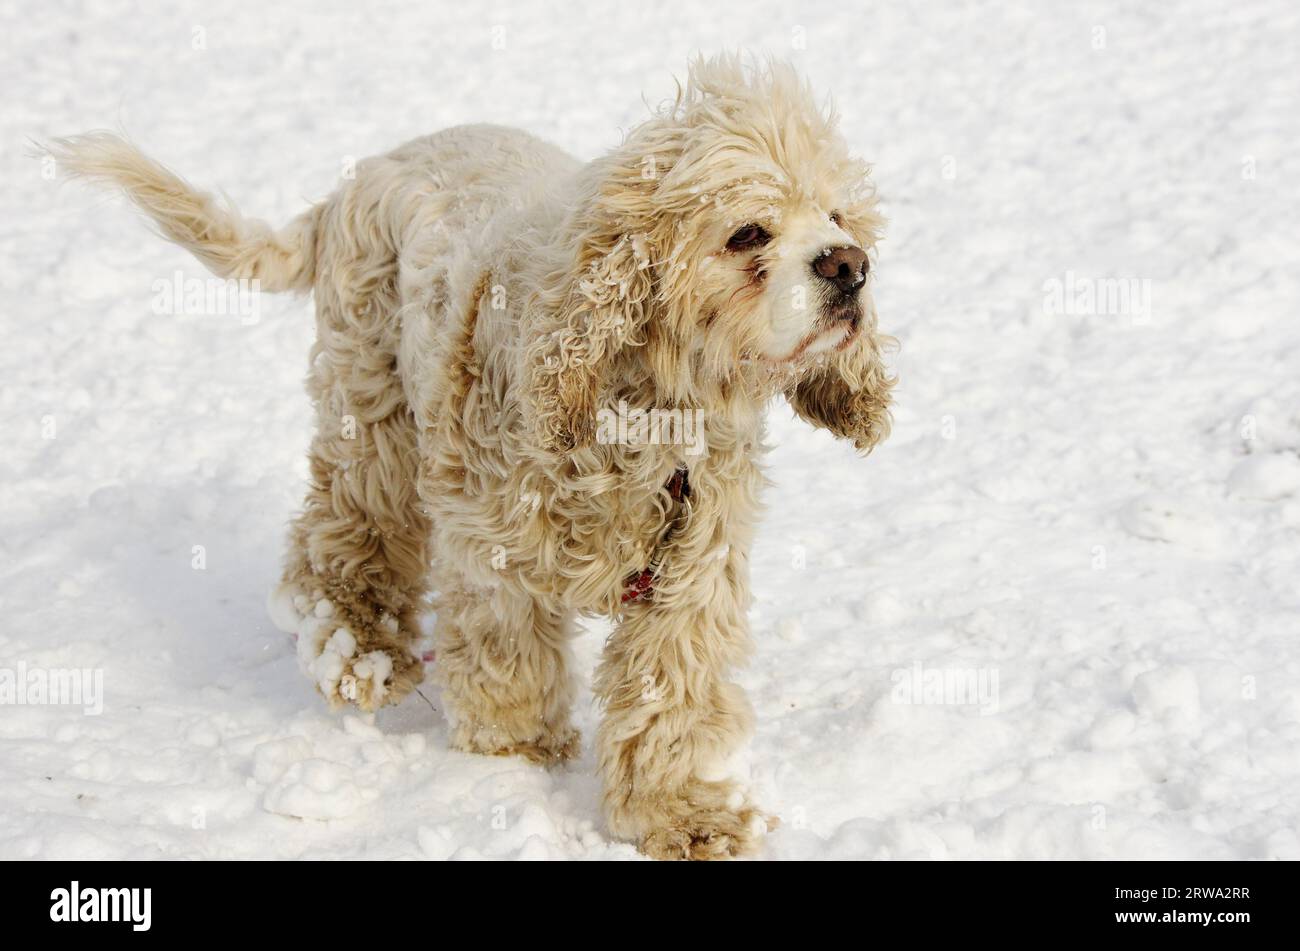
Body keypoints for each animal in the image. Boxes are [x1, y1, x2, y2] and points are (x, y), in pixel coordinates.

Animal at [50, 53, 894, 862]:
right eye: (748, 233)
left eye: (836, 216)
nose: (849, 265)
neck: (644, 408)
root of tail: (357, 177)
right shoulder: (495, 547)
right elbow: (506, 658)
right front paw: (514, 757)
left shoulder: (691, 568)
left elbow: (669, 695)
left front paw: (683, 817)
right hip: (374, 413)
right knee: (342, 534)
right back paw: (361, 648)